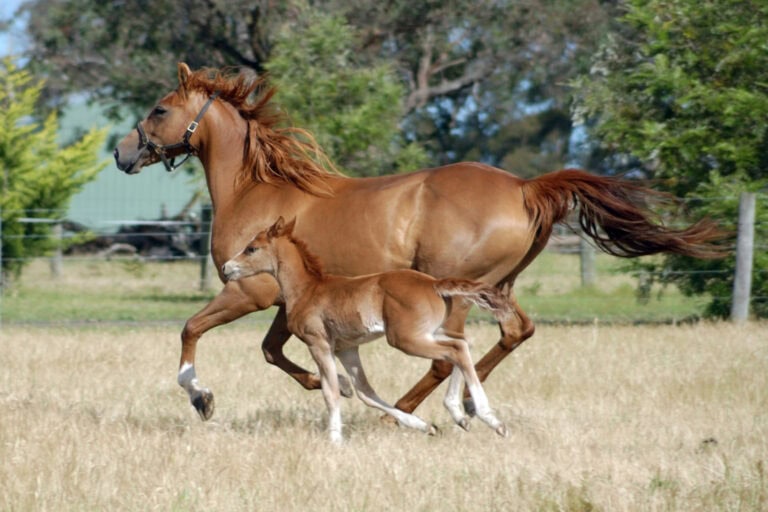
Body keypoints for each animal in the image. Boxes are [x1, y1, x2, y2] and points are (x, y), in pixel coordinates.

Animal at [222, 217, 512, 442]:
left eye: (251, 248)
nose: (227, 268)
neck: (307, 290)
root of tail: (434, 284)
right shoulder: (347, 348)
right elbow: (365, 392)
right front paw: (425, 426)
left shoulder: (319, 343)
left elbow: (331, 392)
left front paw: (335, 440)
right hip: (429, 332)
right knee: (463, 345)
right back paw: (461, 415)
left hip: (404, 339)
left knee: (455, 350)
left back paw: (490, 420)